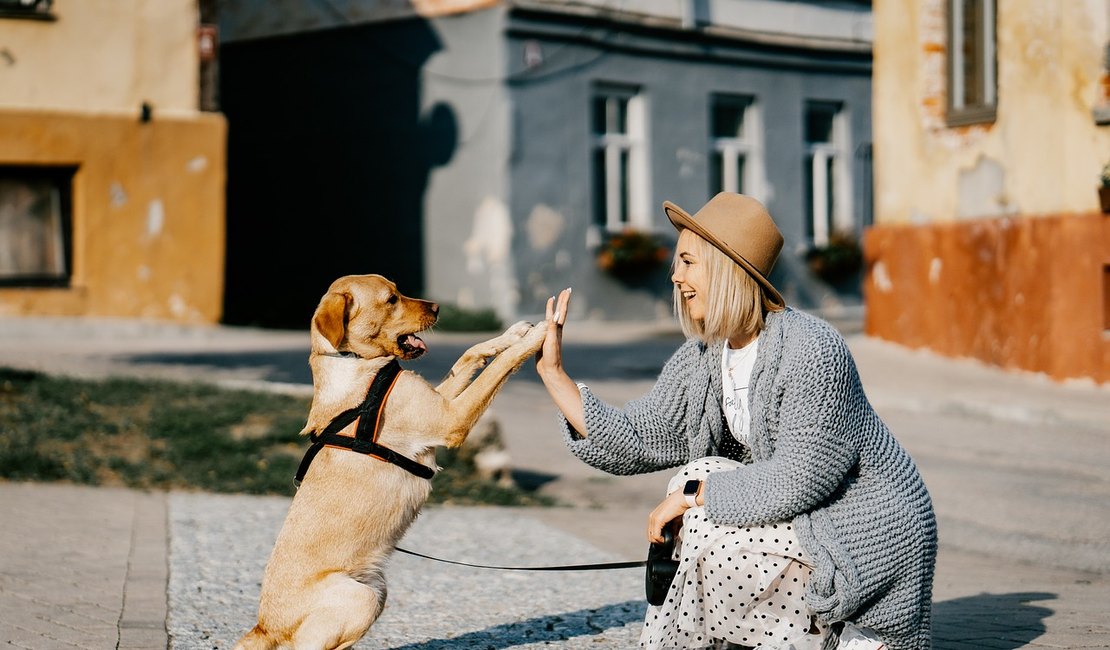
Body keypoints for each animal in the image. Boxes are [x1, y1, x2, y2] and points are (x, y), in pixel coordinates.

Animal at [234, 272, 546, 647]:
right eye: (391, 299)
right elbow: (498, 367)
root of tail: (265, 626)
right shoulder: (450, 418)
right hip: (362, 597)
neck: (354, 361)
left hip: (377, 589)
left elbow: (469, 356)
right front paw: (542, 333)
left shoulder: (440, 402)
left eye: (398, 291)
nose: (437, 307)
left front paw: (515, 333)